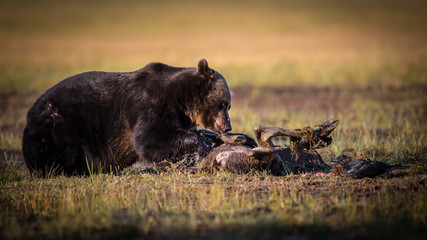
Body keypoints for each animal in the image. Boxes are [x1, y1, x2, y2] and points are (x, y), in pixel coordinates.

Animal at [21, 59, 232, 175]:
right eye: (223, 104)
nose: (227, 127)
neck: (182, 101)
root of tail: (29, 112)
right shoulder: (149, 104)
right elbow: (150, 139)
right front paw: (203, 143)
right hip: (57, 123)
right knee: (51, 151)